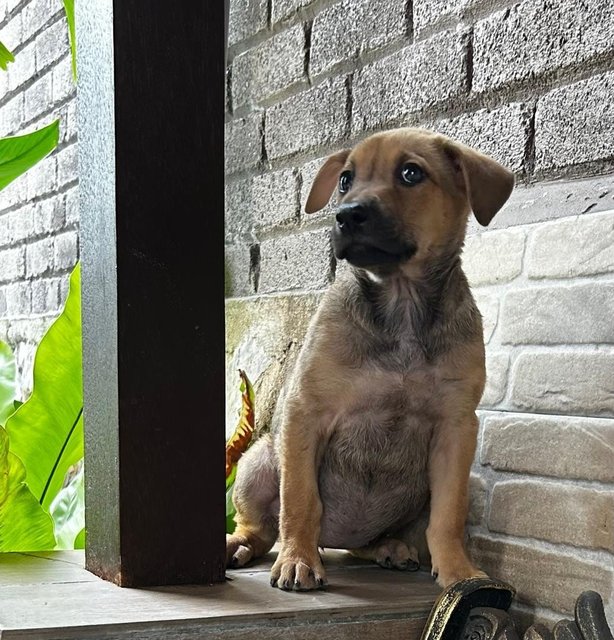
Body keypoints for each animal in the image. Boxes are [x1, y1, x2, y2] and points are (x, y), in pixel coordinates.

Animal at [226, 127, 516, 592]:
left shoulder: (456, 430)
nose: (346, 216)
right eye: (346, 179)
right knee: (263, 528)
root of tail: (339, 539)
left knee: (379, 539)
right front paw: (298, 560)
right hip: (259, 458)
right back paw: (241, 545)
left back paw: (389, 548)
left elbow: (447, 517)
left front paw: (459, 573)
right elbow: (301, 500)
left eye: (411, 173)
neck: (402, 306)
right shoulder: (307, 412)